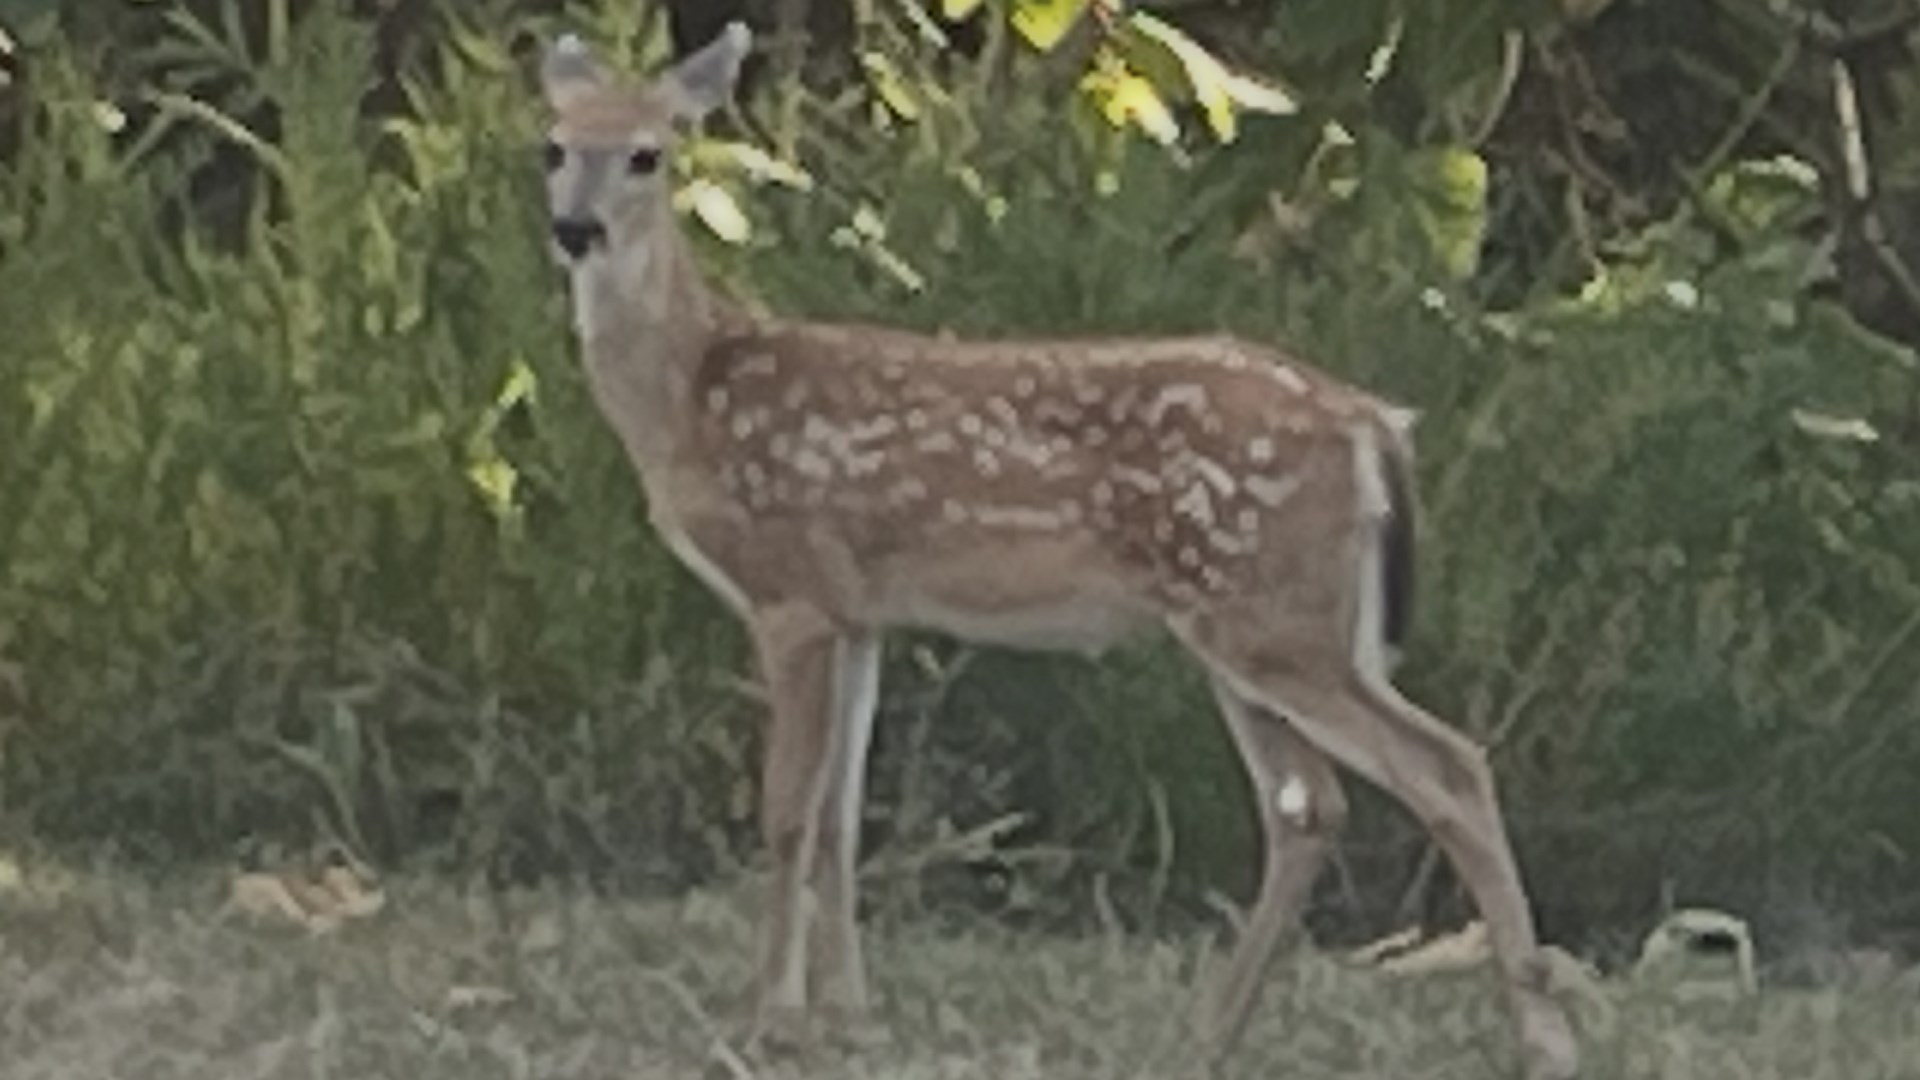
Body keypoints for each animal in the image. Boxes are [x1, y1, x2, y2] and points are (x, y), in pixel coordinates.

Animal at [537, 22, 1580, 1080]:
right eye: (554, 147)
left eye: (647, 154)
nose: (575, 229)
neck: (690, 397)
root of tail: (1377, 426)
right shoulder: (861, 612)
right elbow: (841, 815)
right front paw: (852, 1018)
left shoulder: (791, 590)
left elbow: (787, 812)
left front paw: (768, 1024)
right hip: (1262, 628)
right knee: (1309, 804)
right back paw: (1209, 1031)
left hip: (1275, 622)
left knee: (1446, 767)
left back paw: (1543, 1037)